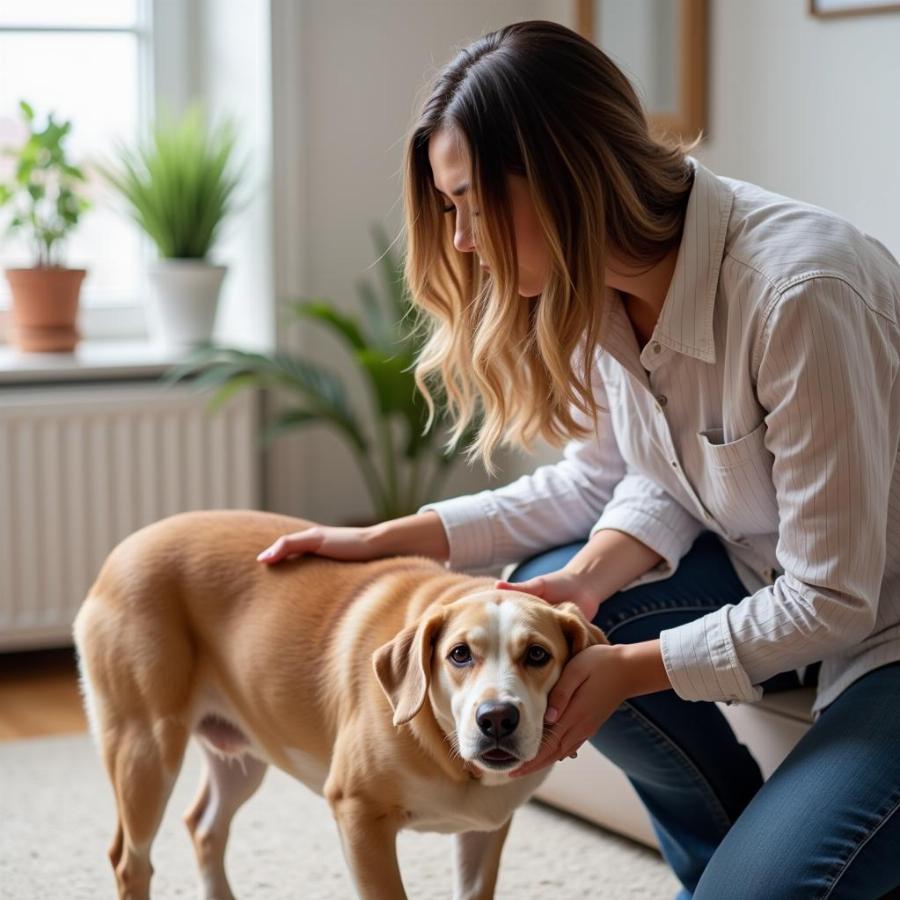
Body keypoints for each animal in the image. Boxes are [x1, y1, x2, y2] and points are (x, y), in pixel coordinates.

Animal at [70, 510, 604, 896]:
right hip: (146, 750)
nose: (496, 719)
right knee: (129, 861)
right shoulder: (359, 817)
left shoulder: (484, 832)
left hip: (245, 753)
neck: (450, 754)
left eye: (537, 654)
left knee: (204, 827)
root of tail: (125, 549)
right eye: (459, 654)